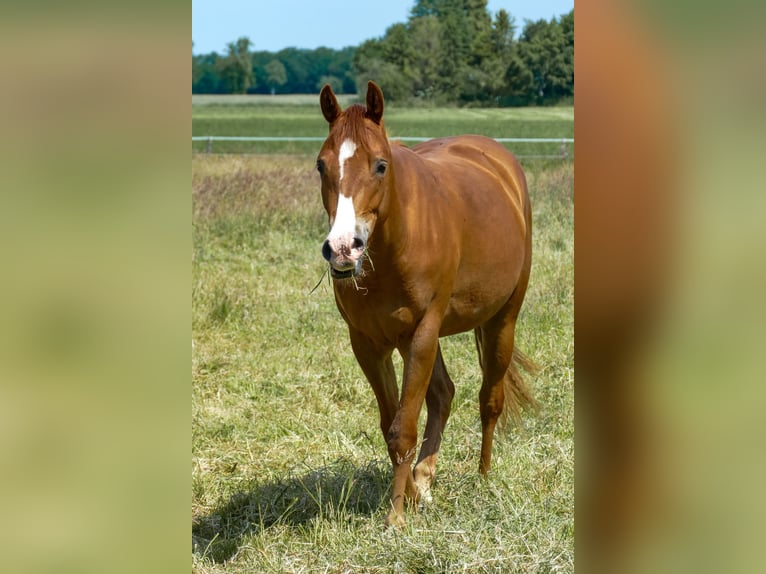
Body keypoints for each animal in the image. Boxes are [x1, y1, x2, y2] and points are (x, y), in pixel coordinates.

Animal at [316, 82, 536, 532]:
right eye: (320, 165)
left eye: (380, 166)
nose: (344, 248)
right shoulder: (368, 343)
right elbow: (392, 424)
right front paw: (413, 495)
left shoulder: (423, 332)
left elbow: (403, 428)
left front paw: (396, 517)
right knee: (443, 394)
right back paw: (425, 478)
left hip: (500, 321)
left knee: (489, 399)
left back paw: (483, 475)